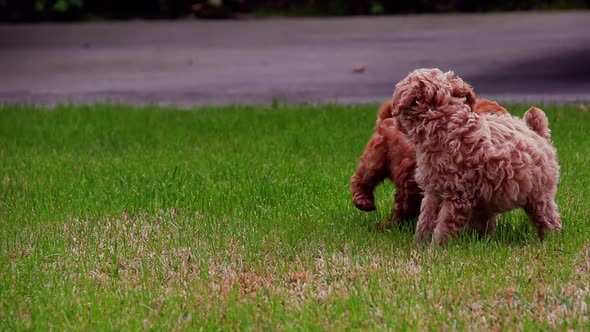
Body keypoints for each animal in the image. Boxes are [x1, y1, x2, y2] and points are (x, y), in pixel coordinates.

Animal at [352, 98, 508, 228]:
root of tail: (388, 117)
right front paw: (393, 226)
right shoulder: (411, 181)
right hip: (376, 157)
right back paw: (363, 201)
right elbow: (405, 206)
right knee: (363, 178)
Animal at [390, 68, 560, 244]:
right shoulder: (433, 191)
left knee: (547, 217)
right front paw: (420, 244)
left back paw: (551, 239)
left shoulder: (456, 194)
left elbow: (444, 224)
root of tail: (537, 133)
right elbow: (426, 219)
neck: (445, 123)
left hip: (539, 192)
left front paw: (437, 247)